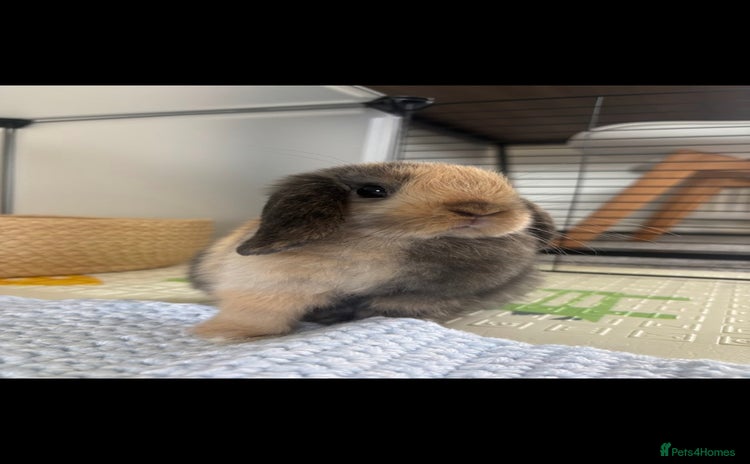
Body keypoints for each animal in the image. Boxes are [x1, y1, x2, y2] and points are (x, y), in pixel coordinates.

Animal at [188, 161, 556, 341]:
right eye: (372, 190)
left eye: (506, 185)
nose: (478, 209)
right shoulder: (263, 287)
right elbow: (255, 316)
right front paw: (219, 336)